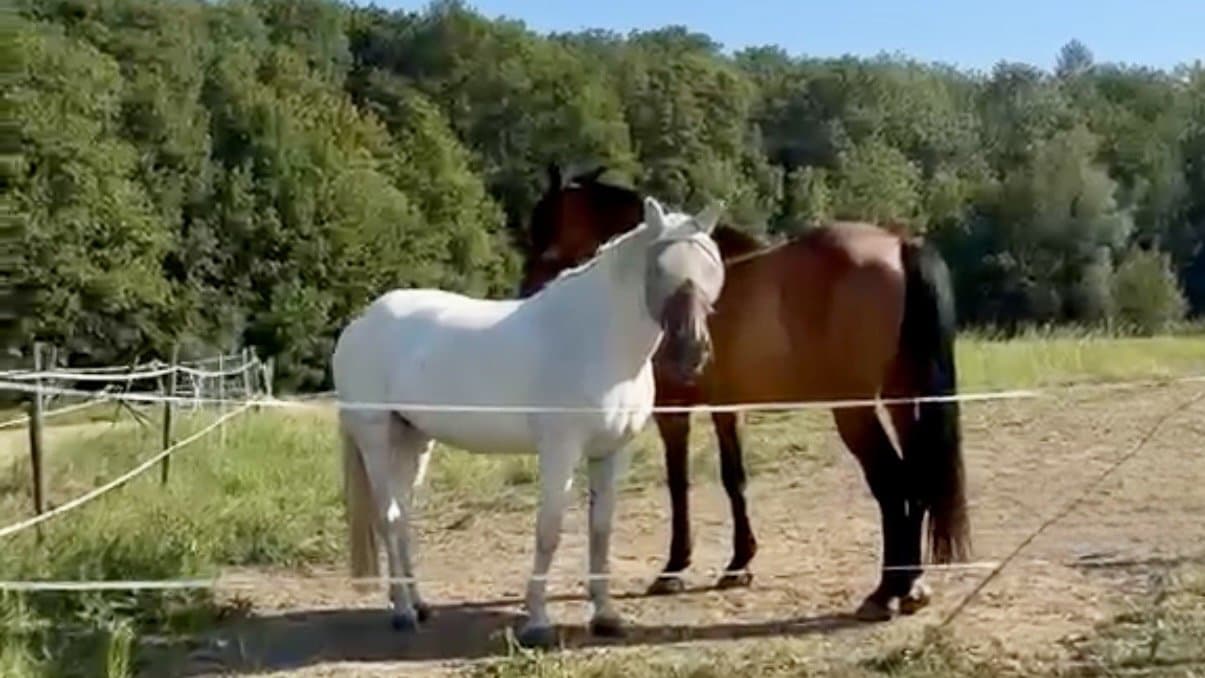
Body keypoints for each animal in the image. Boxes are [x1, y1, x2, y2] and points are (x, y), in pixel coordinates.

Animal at [332, 196, 727, 648]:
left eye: (711, 268)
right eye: (660, 270)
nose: (691, 352)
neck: (596, 340)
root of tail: (361, 323)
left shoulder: (610, 453)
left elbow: (601, 530)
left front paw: (606, 616)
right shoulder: (560, 449)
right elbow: (549, 530)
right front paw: (538, 621)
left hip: (413, 439)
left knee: (403, 519)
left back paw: (419, 603)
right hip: (375, 437)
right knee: (389, 517)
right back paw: (401, 611)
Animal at [517, 165, 971, 622]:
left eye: (544, 228)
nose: (528, 294)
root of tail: (898, 242)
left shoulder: (673, 410)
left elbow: (679, 482)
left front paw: (675, 567)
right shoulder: (727, 407)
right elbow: (734, 478)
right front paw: (739, 563)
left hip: (855, 410)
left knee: (893, 483)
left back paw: (885, 591)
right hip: (902, 400)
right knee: (916, 477)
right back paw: (912, 586)